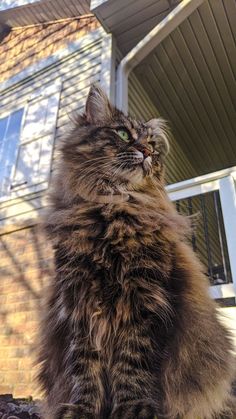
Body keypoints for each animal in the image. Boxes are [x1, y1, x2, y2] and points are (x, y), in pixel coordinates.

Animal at [37, 83, 235, 418]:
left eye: (152, 145)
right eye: (123, 134)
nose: (147, 152)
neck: (113, 209)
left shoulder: (145, 301)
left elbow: (132, 364)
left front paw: (134, 407)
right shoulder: (79, 304)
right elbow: (84, 368)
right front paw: (83, 408)